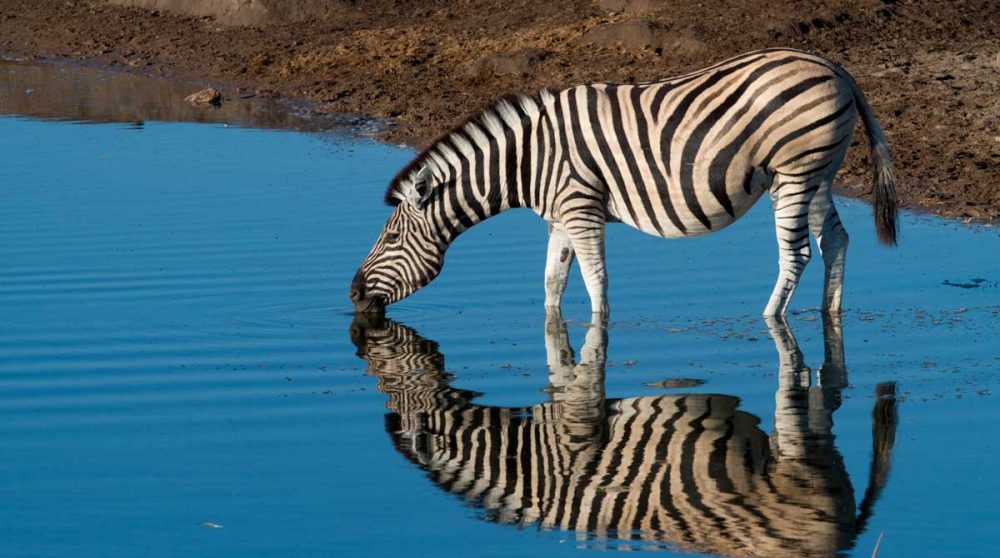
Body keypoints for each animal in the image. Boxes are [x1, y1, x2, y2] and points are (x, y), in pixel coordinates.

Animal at [349, 48, 898, 316]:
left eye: (391, 238)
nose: (352, 296)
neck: (530, 159)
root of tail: (836, 67)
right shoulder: (559, 219)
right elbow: (552, 282)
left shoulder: (581, 208)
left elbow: (597, 283)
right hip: (814, 174)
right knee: (836, 240)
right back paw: (830, 315)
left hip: (796, 171)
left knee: (797, 254)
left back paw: (770, 320)